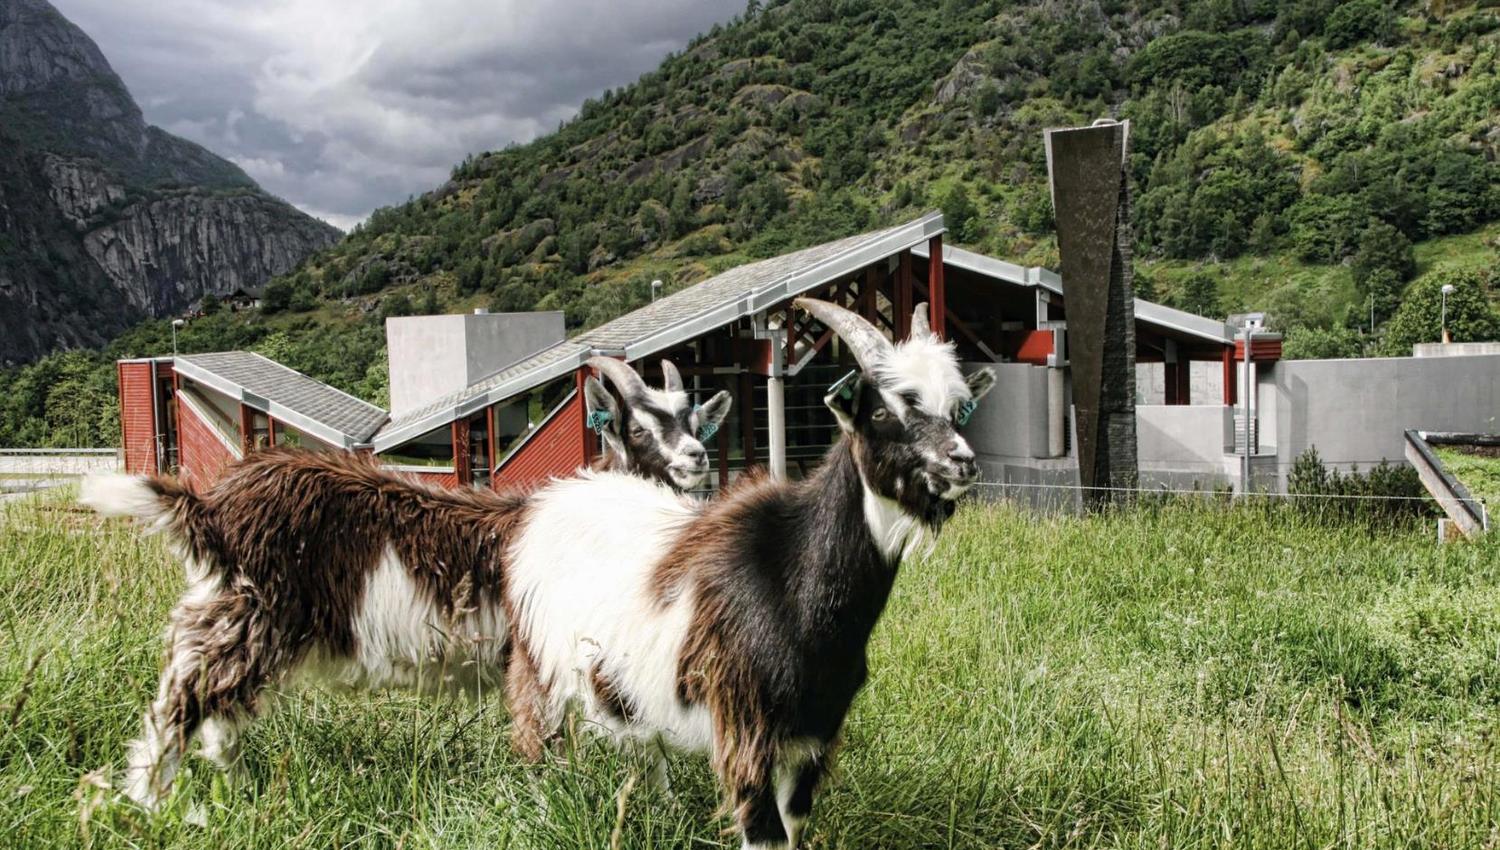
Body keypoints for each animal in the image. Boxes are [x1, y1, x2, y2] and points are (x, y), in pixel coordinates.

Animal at [80, 360, 730, 811]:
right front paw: (548, 803)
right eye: (638, 429)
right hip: (243, 614)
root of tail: (213, 507)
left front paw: (663, 804)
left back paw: (234, 790)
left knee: (221, 709)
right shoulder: (534, 653)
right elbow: (539, 739)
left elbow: (645, 742)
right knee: (180, 702)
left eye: (696, 421)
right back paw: (146, 803)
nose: (697, 458)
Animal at [504, 298, 996, 849]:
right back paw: (547, 808)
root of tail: (555, 497)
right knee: (536, 740)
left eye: (956, 409)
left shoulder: (815, 734)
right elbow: (765, 833)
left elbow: (794, 820)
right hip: (538, 665)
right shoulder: (745, 726)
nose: (961, 462)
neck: (794, 585)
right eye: (882, 411)